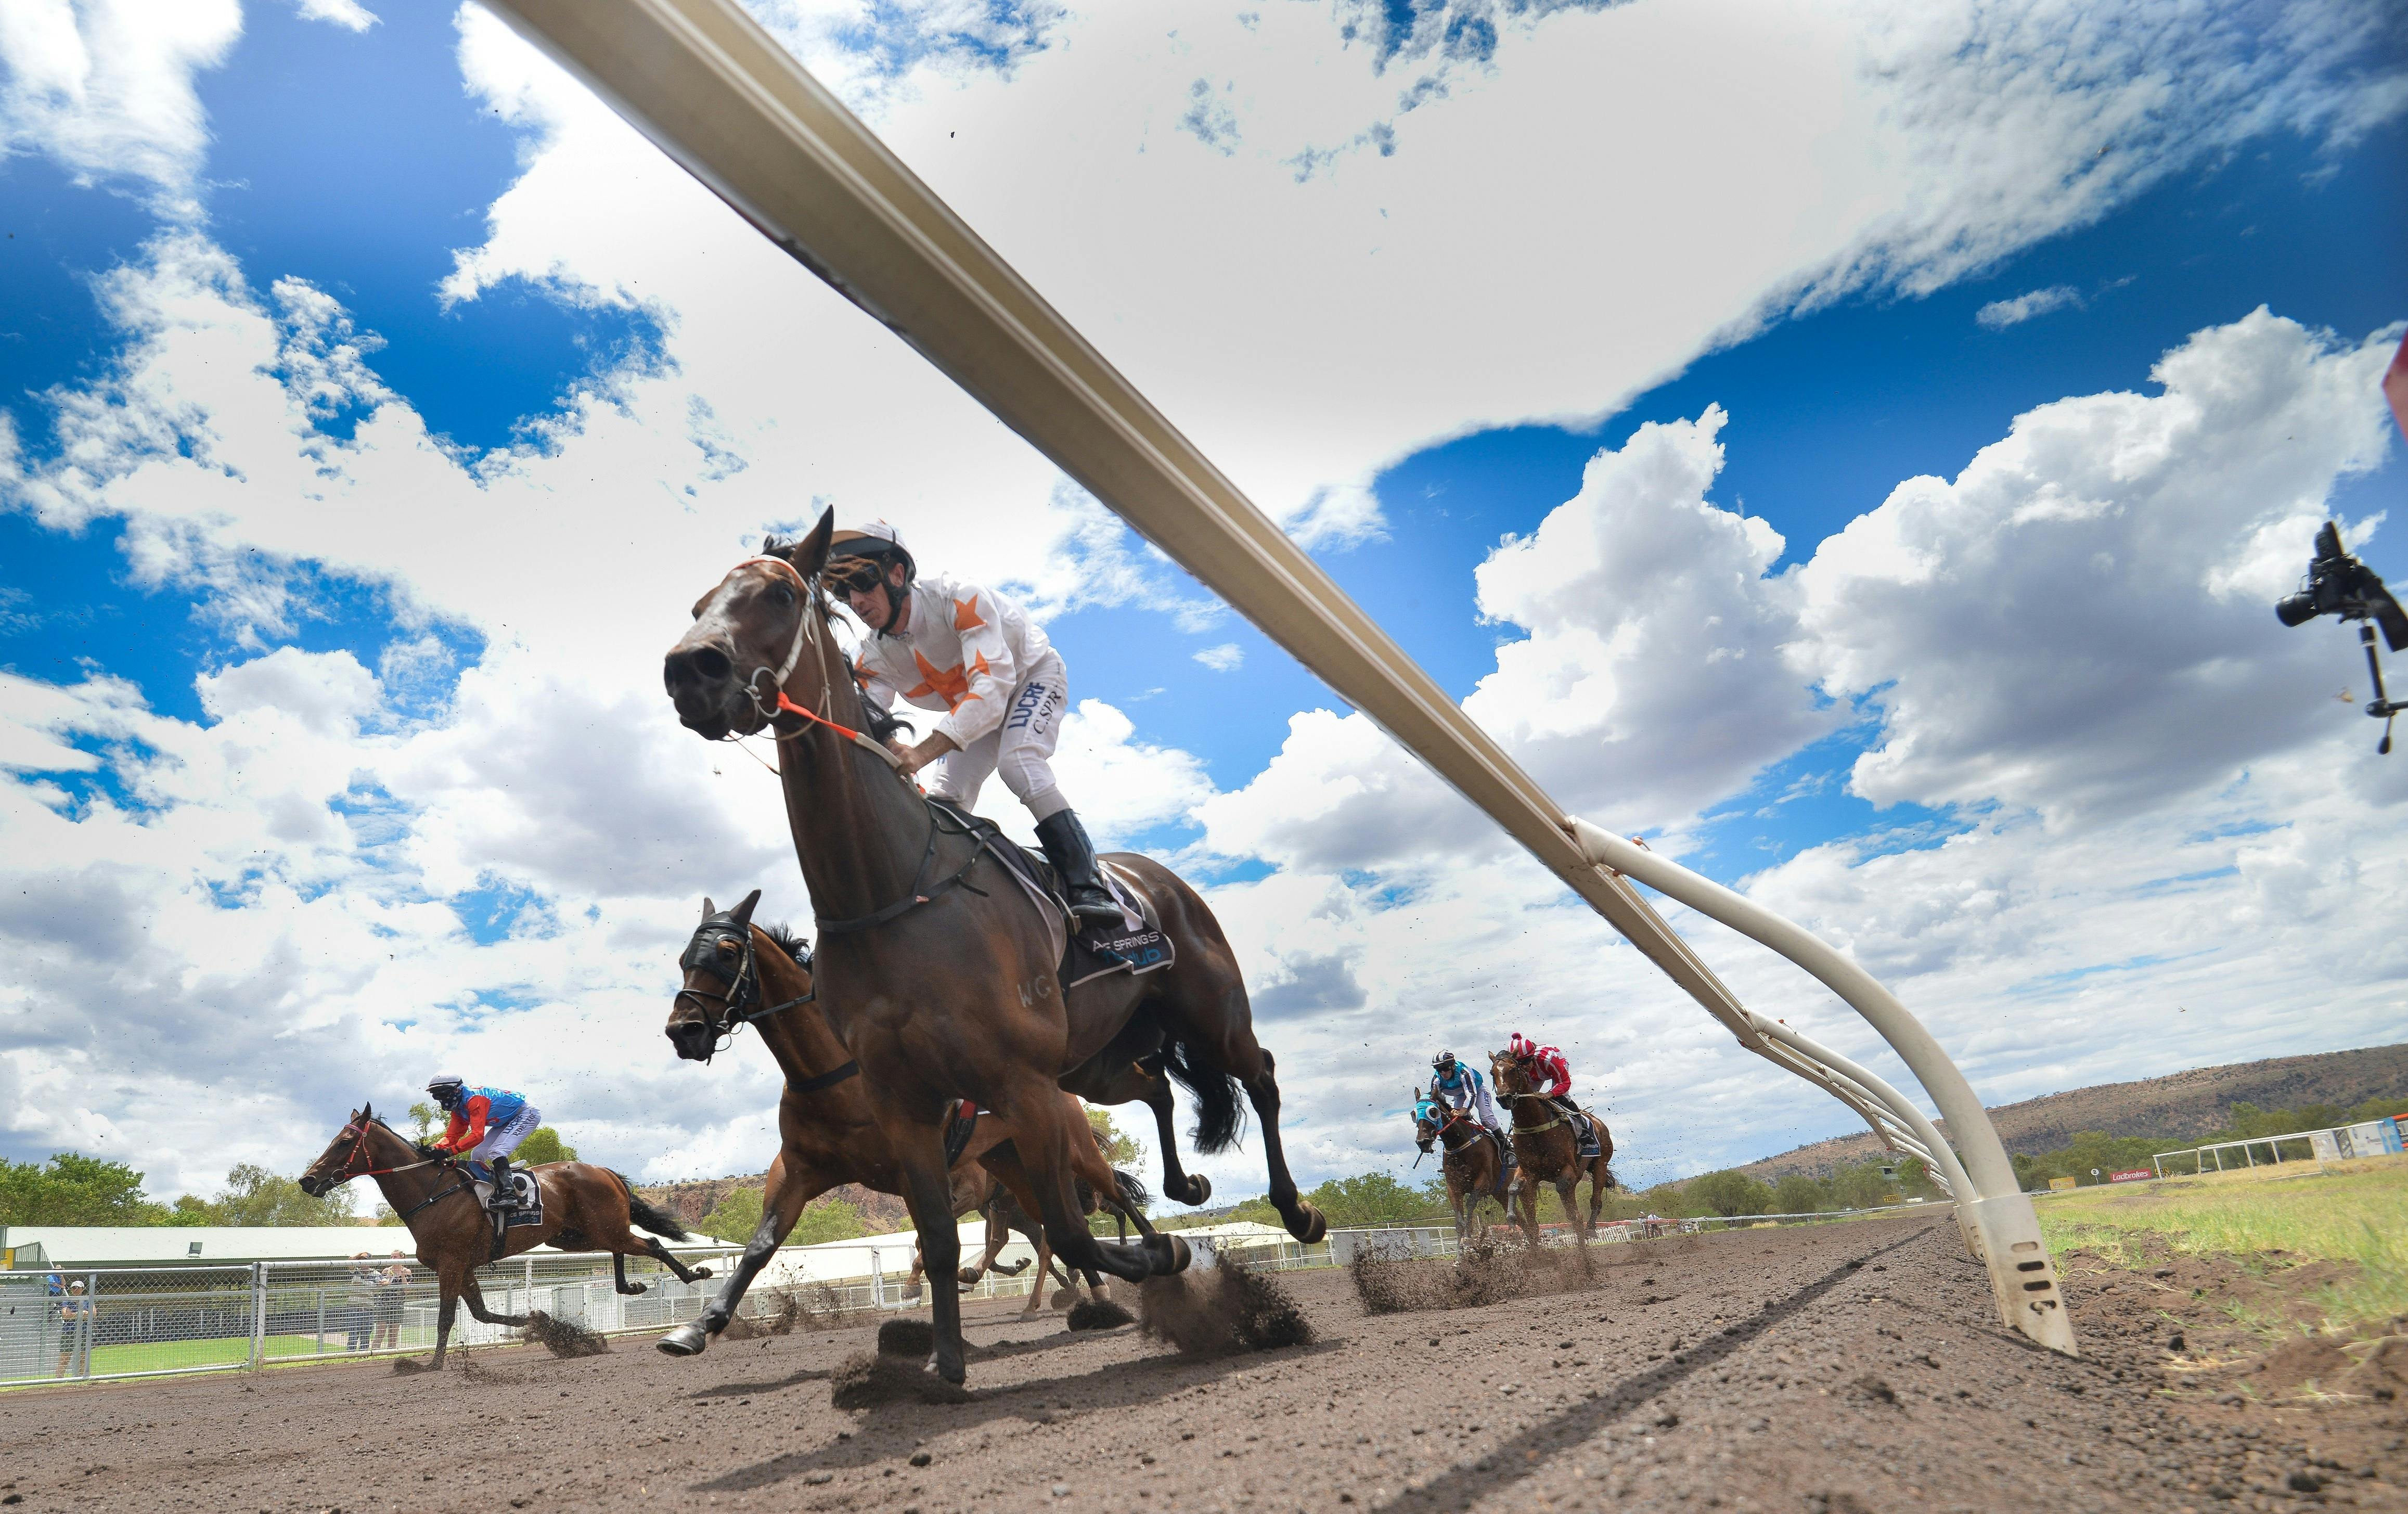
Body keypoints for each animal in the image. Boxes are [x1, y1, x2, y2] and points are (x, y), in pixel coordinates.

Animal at [297, 1102, 707, 1367]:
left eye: (344, 1142)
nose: (308, 1180)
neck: (432, 1192)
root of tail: (604, 1171)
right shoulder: (463, 1266)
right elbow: (482, 1314)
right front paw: (546, 1326)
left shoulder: (451, 1263)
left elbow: (447, 1317)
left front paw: (432, 1364)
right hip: (575, 1235)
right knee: (623, 1248)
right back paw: (631, 1286)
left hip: (595, 1229)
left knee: (650, 1244)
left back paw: (695, 1274)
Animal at [655, 890, 1151, 1348]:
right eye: (683, 959)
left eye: (727, 952)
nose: (683, 1030)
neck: (838, 1074)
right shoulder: (796, 1169)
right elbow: (760, 1246)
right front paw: (701, 1325)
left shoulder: (920, 1171)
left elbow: (932, 1243)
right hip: (1013, 1167)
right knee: (1052, 1225)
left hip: (1072, 1148)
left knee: (1114, 1192)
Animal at [1415, 1088, 1512, 1242]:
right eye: (1413, 1114)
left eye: (1433, 1111)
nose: (1422, 1142)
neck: (1460, 1144)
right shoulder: (1453, 1187)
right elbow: (1459, 1218)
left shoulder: (1483, 1183)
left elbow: (1470, 1206)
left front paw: (1469, 1238)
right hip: (1502, 1193)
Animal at [1483, 1049, 1618, 1242]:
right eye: (1492, 1073)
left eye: (1513, 1069)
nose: (1504, 1098)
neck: (1535, 1126)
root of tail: (1598, 1123)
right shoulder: (1528, 1172)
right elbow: (1514, 1189)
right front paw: (1512, 1221)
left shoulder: (1567, 1170)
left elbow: (1568, 1198)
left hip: (1601, 1164)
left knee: (1596, 1201)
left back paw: (1591, 1229)